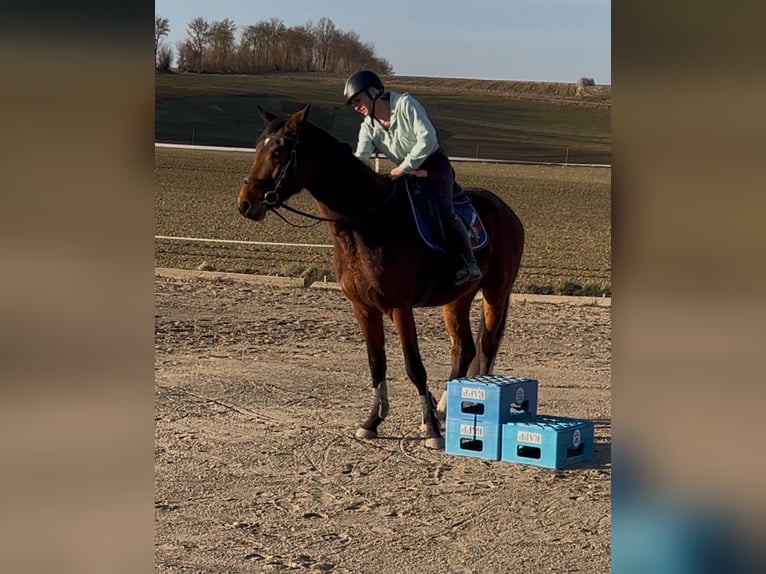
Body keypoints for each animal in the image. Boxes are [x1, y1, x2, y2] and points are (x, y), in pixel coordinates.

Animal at [238, 106, 528, 452]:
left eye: (278, 153)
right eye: (257, 147)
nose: (245, 204)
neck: (366, 223)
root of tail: (508, 212)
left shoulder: (399, 308)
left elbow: (414, 367)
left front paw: (431, 429)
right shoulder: (363, 308)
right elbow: (376, 363)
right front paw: (373, 421)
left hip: (495, 293)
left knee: (486, 346)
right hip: (457, 299)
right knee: (464, 349)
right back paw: (447, 407)